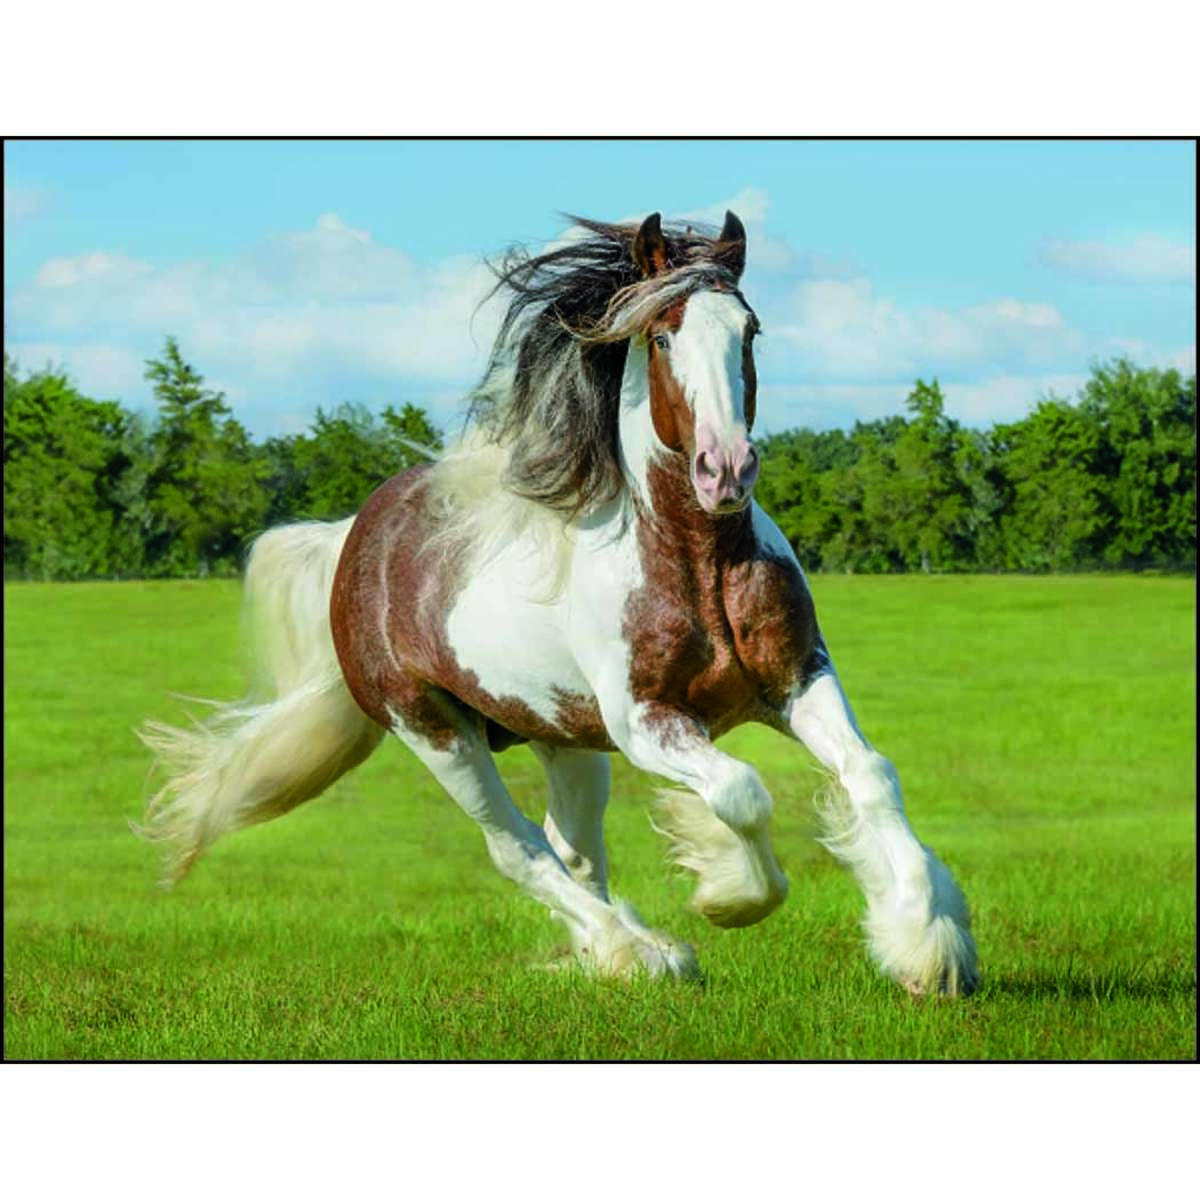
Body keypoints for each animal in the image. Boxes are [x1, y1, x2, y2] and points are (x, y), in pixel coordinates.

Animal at [137, 210, 978, 996]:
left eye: (750, 329)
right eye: (663, 336)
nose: (725, 470)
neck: (697, 565)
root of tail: (358, 537)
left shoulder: (798, 679)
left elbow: (871, 773)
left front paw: (928, 944)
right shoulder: (646, 722)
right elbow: (741, 792)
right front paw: (728, 893)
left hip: (561, 734)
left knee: (569, 845)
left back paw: (606, 953)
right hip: (435, 730)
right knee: (517, 848)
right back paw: (642, 953)